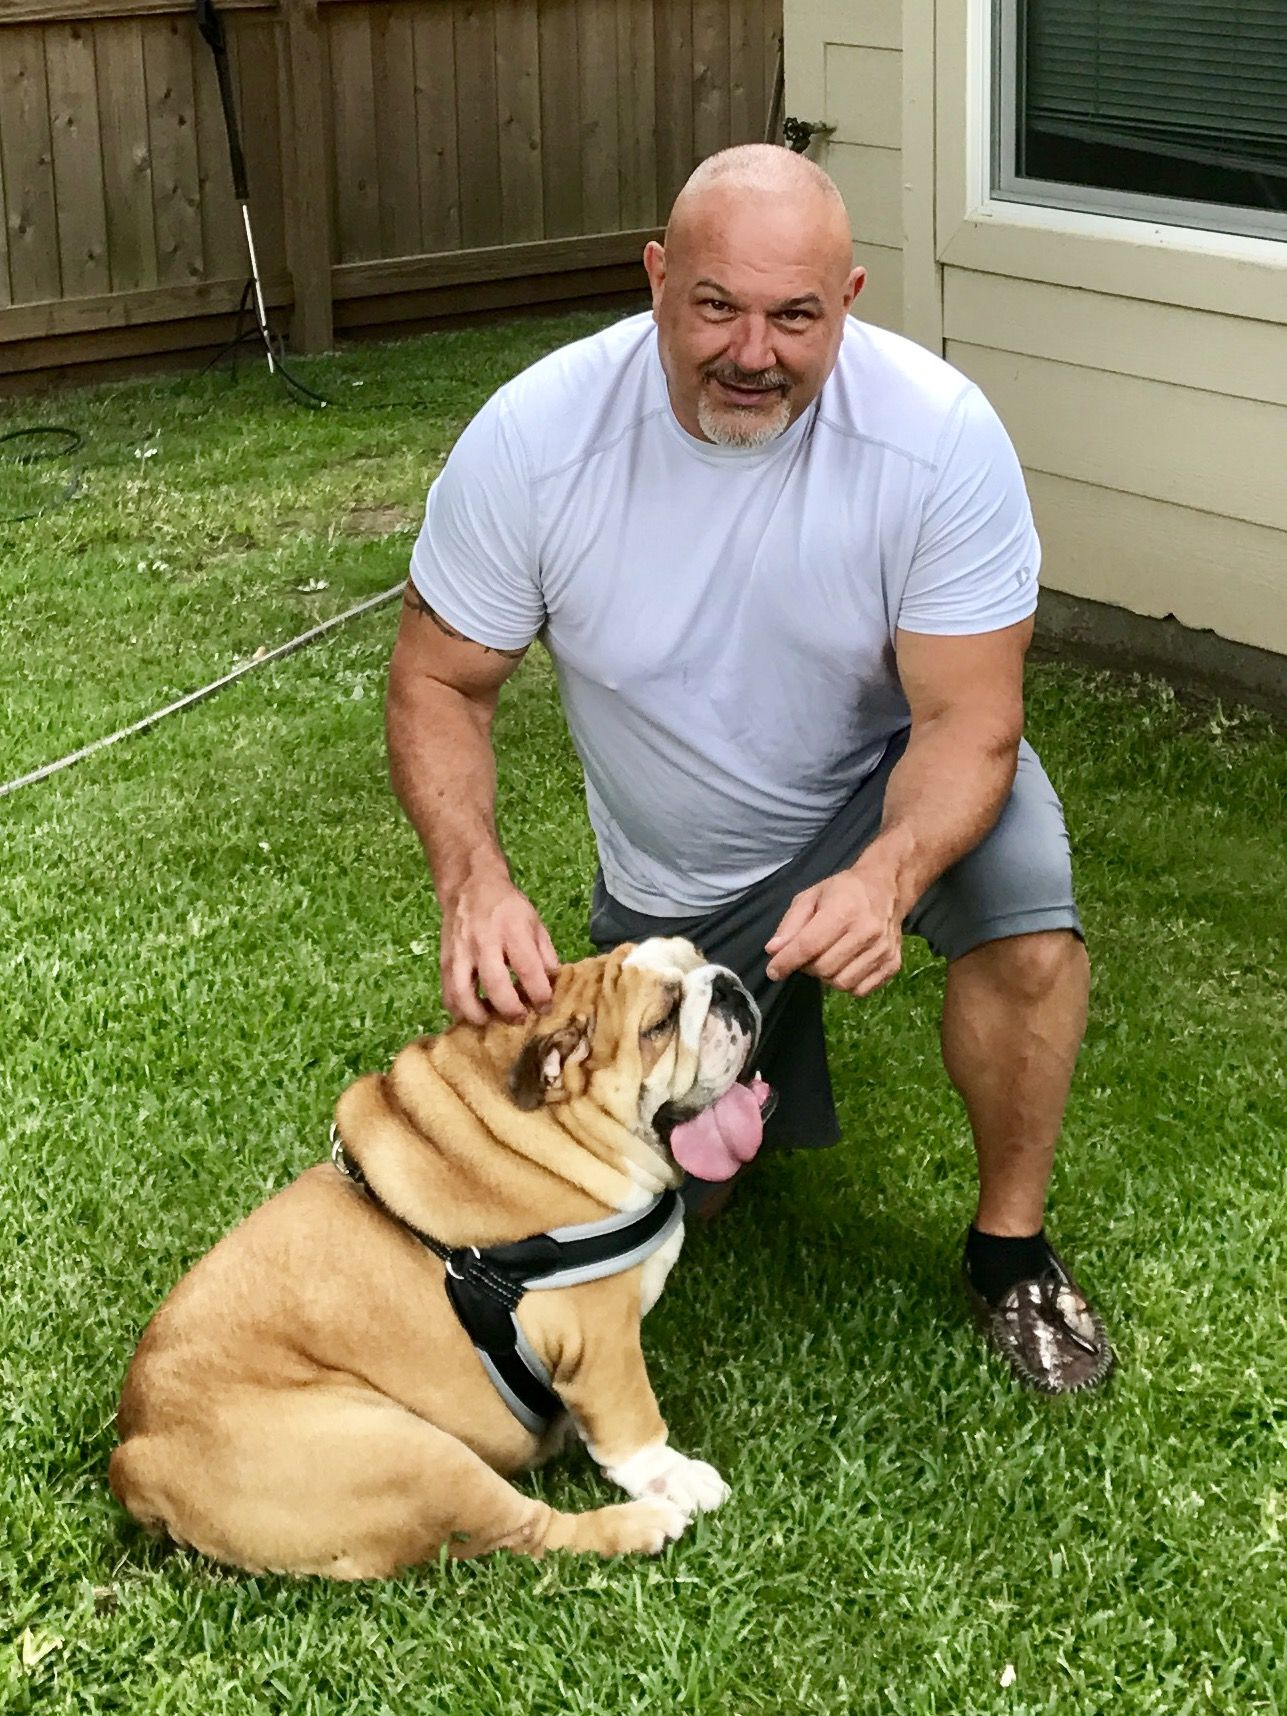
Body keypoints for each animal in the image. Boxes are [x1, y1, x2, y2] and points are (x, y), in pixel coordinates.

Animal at [109, 938, 773, 1577]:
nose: (727, 986)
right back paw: (641, 1524)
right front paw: (677, 1477)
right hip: (410, 1454)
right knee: (533, 1532)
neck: (552, 1130)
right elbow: (633, 1425)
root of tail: (136, 1459)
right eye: (660, 1023)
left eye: (699, 957)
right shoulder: (601, 1338)